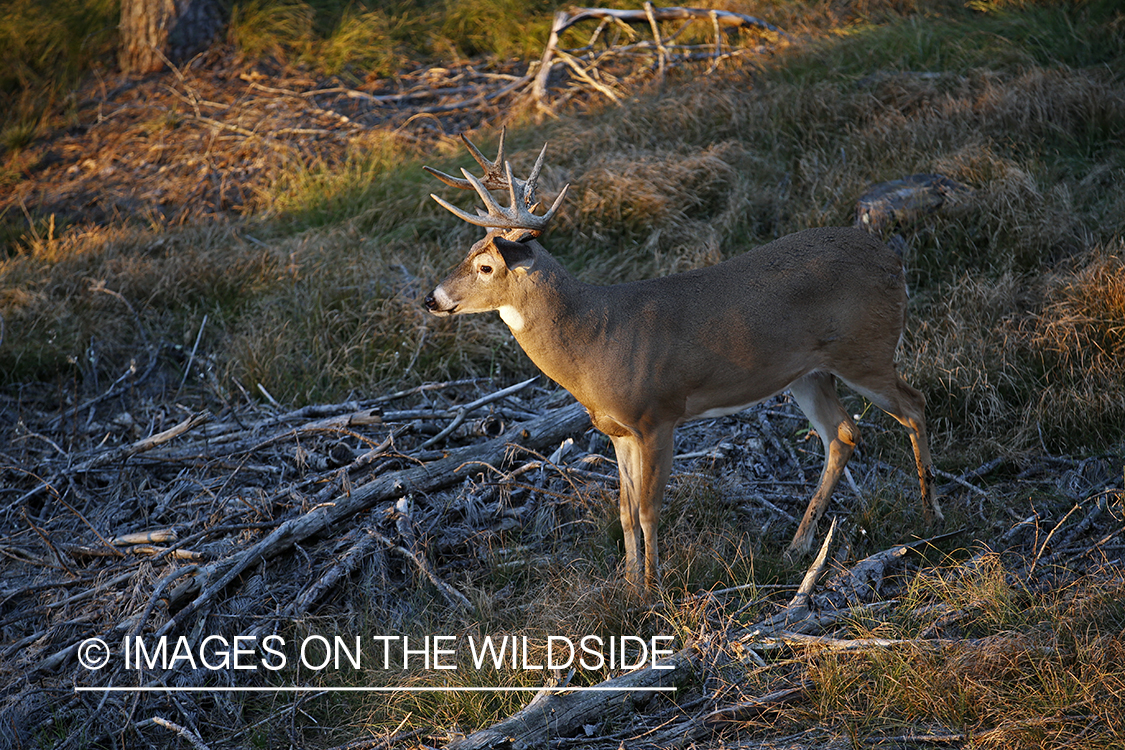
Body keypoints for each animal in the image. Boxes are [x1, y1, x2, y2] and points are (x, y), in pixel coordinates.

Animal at [423, 133, 940, 593]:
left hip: (866, 350)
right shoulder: (616, 430)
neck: (595, 338)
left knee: (914, 405)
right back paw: (798, 546)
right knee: (843, 433)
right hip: (808, 373)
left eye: (486, 267)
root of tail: (893, 260)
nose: (432, 299)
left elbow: (649, 509)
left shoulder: (658, 416)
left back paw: (930, 514)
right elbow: (624, 510)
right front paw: (629, 585)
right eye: (467, 253)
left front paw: (654, 590)